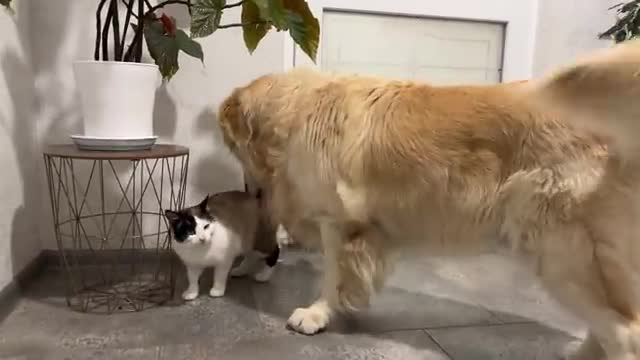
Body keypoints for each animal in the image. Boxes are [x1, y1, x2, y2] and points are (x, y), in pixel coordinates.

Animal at [218, 40, 640, 360]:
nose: (246, 190)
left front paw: (316, 314)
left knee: (624, 333)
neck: (297, 109)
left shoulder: (337, 222)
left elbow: (332, 274)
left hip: (558, 251)